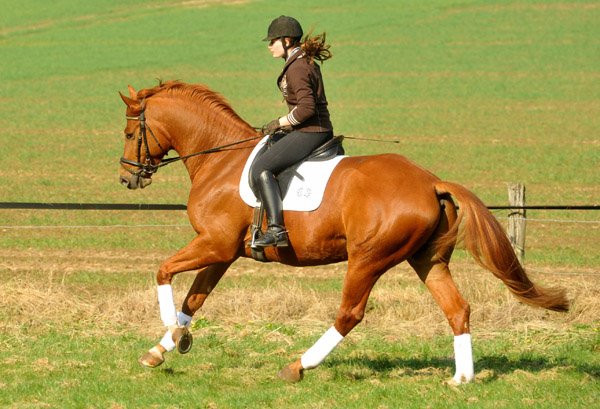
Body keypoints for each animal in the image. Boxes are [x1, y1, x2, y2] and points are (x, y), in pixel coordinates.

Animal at [118, 79, 568, 382]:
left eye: (129, 132)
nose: (127, 179)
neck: (220, 159)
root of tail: (430, 182)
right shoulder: (224, 252)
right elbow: (194, 299)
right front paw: (163, 347)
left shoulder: (214, 244)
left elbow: (163, 271)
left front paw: (169, 330)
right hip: (426, 259)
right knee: (457, 309)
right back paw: (461, 379)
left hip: (368, 258)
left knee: (349, 313)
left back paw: (299, 365)